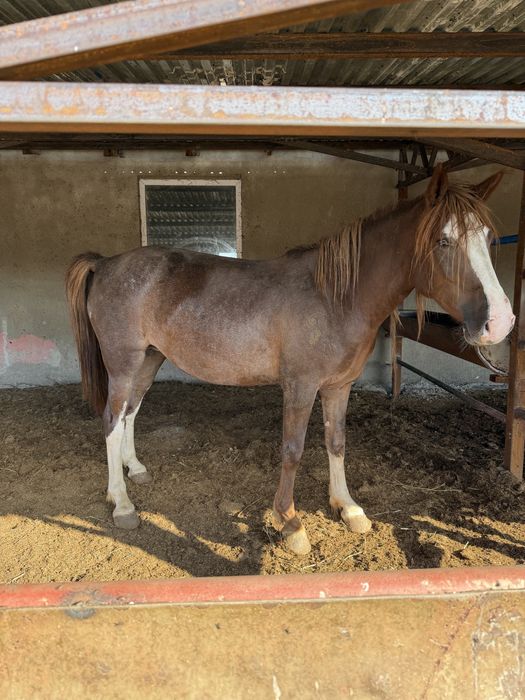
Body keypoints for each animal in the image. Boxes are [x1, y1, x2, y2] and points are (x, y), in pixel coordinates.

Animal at [66, 165, 514, 555]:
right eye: (444, 241)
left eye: (489, 238)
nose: (500, 322)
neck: (335, 297)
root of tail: (105, 263)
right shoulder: (300, 387)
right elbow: (293, 450)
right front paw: (291, 523)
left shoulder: (339, 386)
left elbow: (336, 442)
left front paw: (347, 507)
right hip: (123, 362)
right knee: (112, 418)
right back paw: (122, 503)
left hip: (149, 360)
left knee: (130, 412)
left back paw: (135, 470)